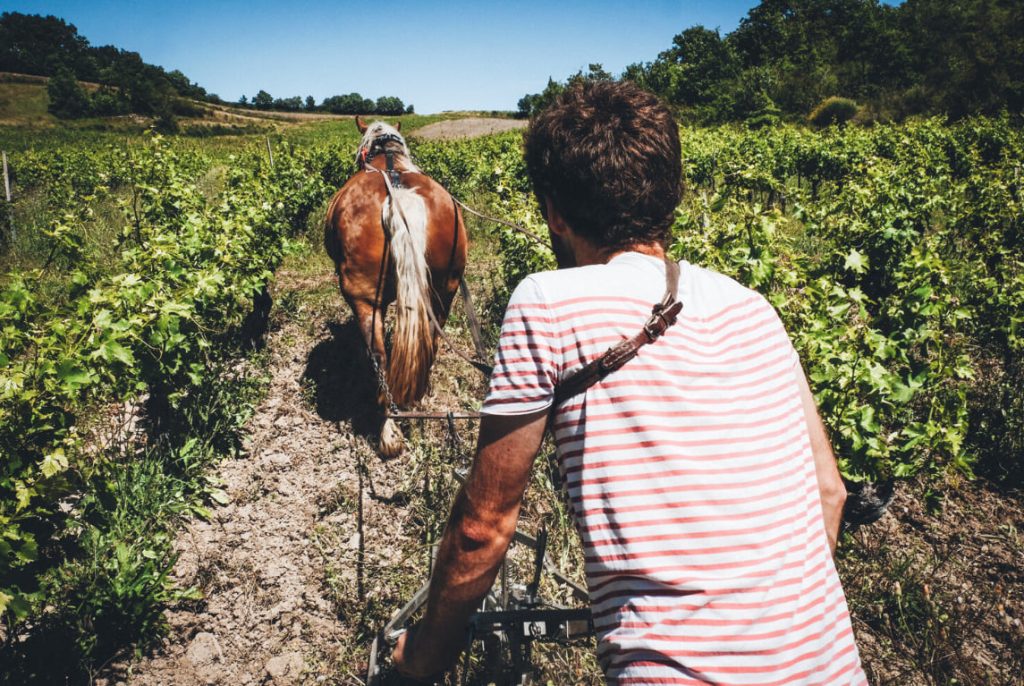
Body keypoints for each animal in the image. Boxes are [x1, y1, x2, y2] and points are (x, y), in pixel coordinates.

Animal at [323, 116, 468, 458]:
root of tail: (399, 196)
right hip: (446, 290)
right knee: (431, 341)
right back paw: (419, 392)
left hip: (363, 298)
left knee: (379, 355)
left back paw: (387, 426)